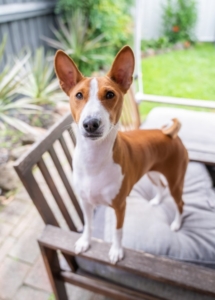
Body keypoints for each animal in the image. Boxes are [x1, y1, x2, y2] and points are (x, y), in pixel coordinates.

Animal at [55, 45, 188, 264]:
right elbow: (88, 225)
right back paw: (156, 201)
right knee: (160, 187)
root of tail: (169, 134)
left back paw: (177, 224)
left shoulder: (119, 206)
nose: (91, 123)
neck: (94, 161)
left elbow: (118, 232)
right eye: (79, 95)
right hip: (151, 171)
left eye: (110, 95)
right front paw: (85, 242)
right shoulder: (86, 203)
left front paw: (116, 251)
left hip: (175, 181)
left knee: (180, 203)